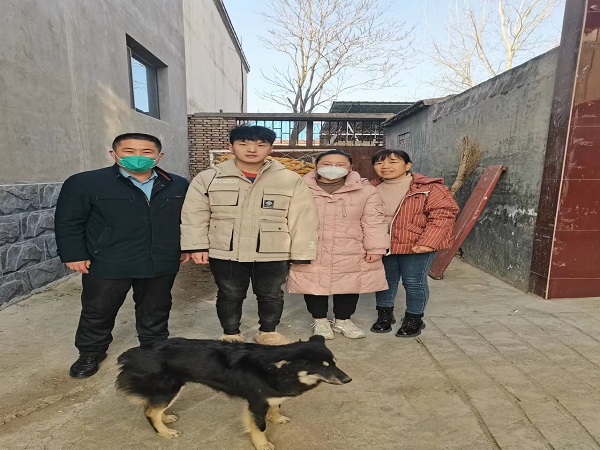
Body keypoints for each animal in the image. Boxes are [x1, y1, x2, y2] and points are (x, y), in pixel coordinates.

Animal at [115, 335, 351, 450]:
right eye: (323, 367)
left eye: (334, 363)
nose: (348, 379)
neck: (278, 370)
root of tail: (134, 354)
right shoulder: (256, 403)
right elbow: (259, 427)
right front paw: (262, 444)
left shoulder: (271, 395)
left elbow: (276, 407)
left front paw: (277, 418)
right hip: (170, 388)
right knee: (150, 412)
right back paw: (165, 432)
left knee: (152, 407)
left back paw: (166, 418)